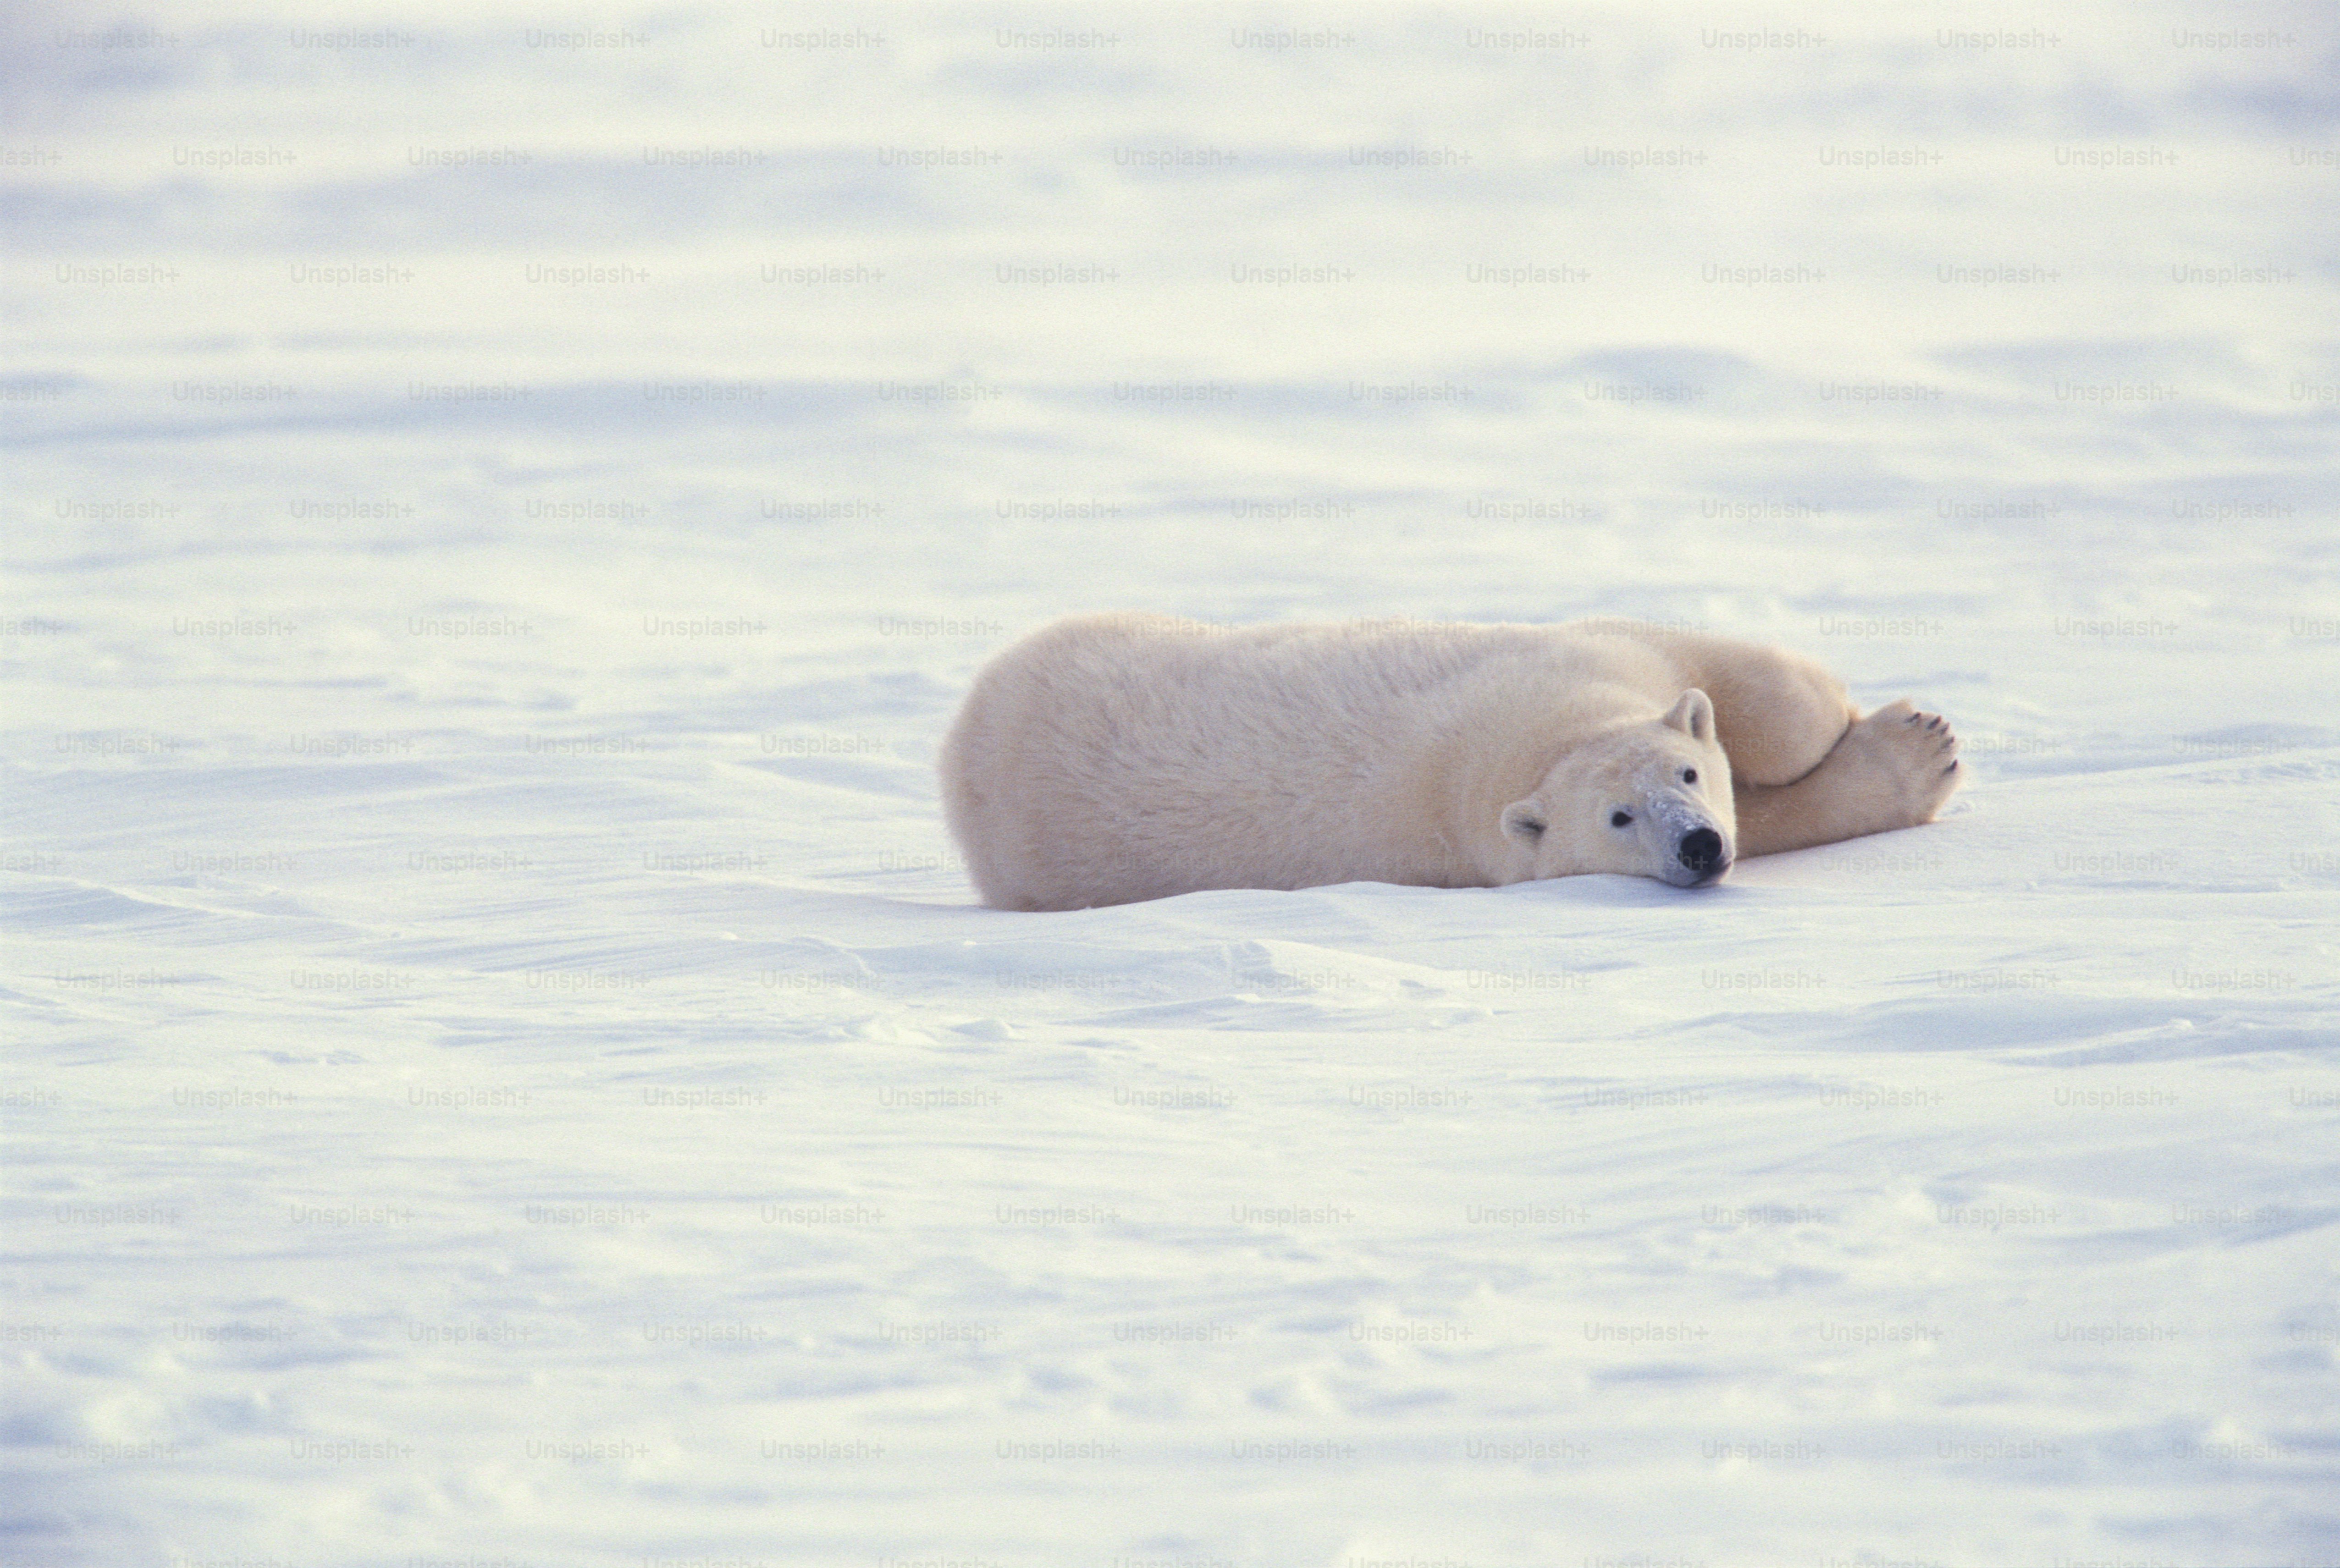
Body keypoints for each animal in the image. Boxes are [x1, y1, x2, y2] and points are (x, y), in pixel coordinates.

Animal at [937, 614, 1960, 911]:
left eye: (1683, 775)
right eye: (1616, 819)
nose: (1696, 847)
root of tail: (960, 742)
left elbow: (1750, 694)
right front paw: (1918, 748)